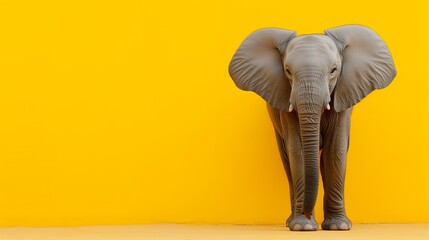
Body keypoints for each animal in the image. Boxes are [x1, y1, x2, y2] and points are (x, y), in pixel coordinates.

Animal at [227, 25, 394, 231]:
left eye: (334, 70)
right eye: (287, 71)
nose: (306, 213)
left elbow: (335, 150)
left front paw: (339, 227)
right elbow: (297, 152)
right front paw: (303, 227)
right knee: (287, 159)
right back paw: (291, 221)